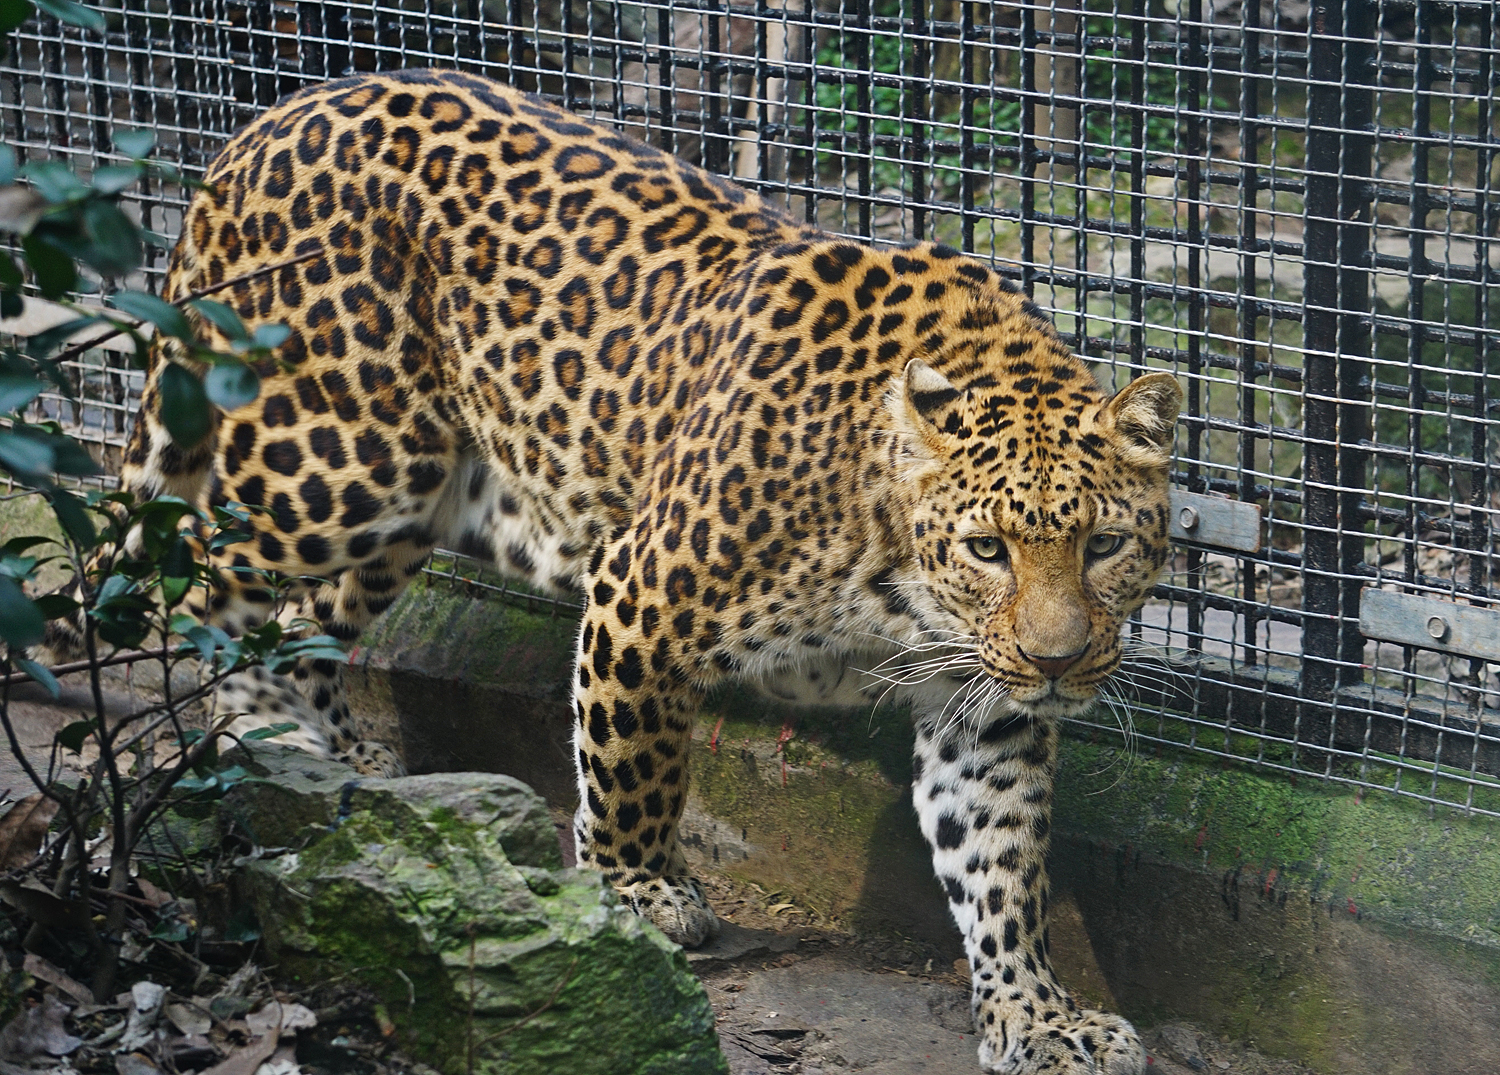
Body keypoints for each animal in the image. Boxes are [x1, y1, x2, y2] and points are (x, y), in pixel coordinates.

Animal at [108, 68, 1182, 1074]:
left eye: (1102, 545)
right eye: (988, 549)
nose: (1057, 663)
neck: (898, 579)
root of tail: (261, 125)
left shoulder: (983, 704)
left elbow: (1000, 860)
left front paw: (1036, 1014)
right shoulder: (641, 594)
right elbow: (635, 769)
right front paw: (635, 890)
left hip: (409, 504)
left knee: (305, 618)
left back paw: (337, 762)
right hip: (336, 466)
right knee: (206, 576)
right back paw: (259, 731)